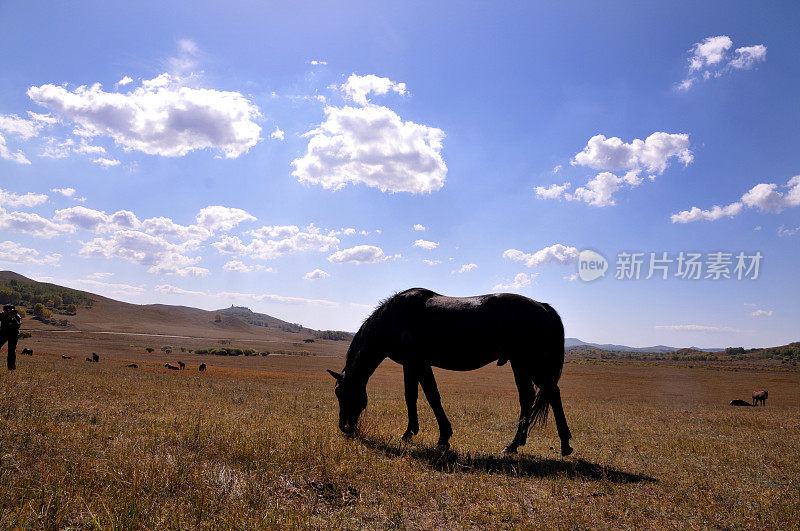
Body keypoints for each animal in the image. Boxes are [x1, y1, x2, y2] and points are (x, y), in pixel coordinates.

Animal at [328, 288, 572, 456]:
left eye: (344, 394)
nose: (344, 427)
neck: (393, 318)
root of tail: (543, 306)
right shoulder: (410, 364)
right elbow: (410, 397)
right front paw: (409, 433)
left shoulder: (420, 363)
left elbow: (432, 397)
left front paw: (443, 438)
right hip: (520, 364)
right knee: (530, 397)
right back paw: (518, 444)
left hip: (529, 362)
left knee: (551, 393)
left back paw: (561, 444)